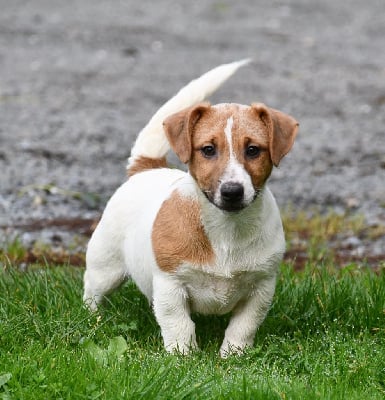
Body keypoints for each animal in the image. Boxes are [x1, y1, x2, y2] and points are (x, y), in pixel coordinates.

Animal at [84, 59, 298, 356]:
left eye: (253, 150)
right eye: (208, 149)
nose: (232, 191)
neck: (226, 230)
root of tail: (147, 168)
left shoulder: (261, 287)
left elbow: (243, 326)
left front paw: (233, 355)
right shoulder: (170, 285)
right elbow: (179, 324)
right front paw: (182, 356)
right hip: (105, 265)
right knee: (91, 291)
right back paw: (94, 319)